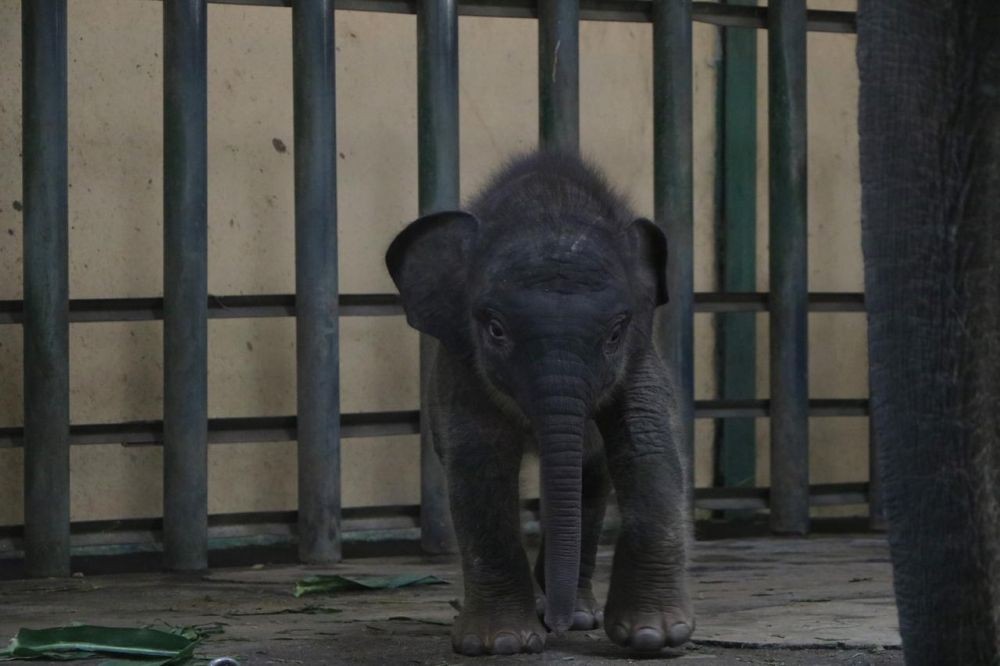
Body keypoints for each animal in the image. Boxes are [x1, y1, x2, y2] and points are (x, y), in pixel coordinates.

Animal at [386, 152, 692, 652]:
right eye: (495, 329)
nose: (558, 626)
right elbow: (480, 459)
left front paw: (654, 636)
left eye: (615, 332)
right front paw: (501, 644)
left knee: (589, 483)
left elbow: (647, 445)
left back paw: (584, 613)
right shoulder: (462, 365)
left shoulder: (640, 356)